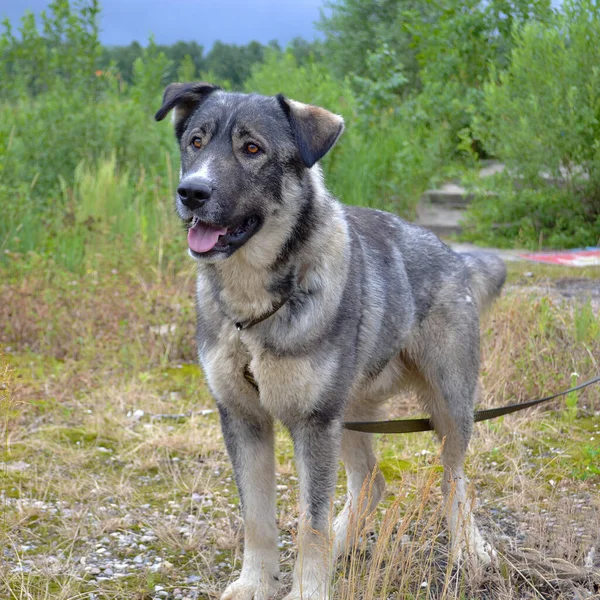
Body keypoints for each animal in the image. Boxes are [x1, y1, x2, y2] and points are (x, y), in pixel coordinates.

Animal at [155, 85, 506, 600]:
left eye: (252, 149)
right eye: (195, 142)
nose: (192, 192)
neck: (255, 310)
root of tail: (453, 255)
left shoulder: (313, 424)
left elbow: (310, 522)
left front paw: (307, 588)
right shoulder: (243, 420)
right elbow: (258, 517)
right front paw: (256, 581)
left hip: (448, 407)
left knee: (455, 479)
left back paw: (469, 548)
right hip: (351, 411)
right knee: (372, 482)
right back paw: (345, 540)